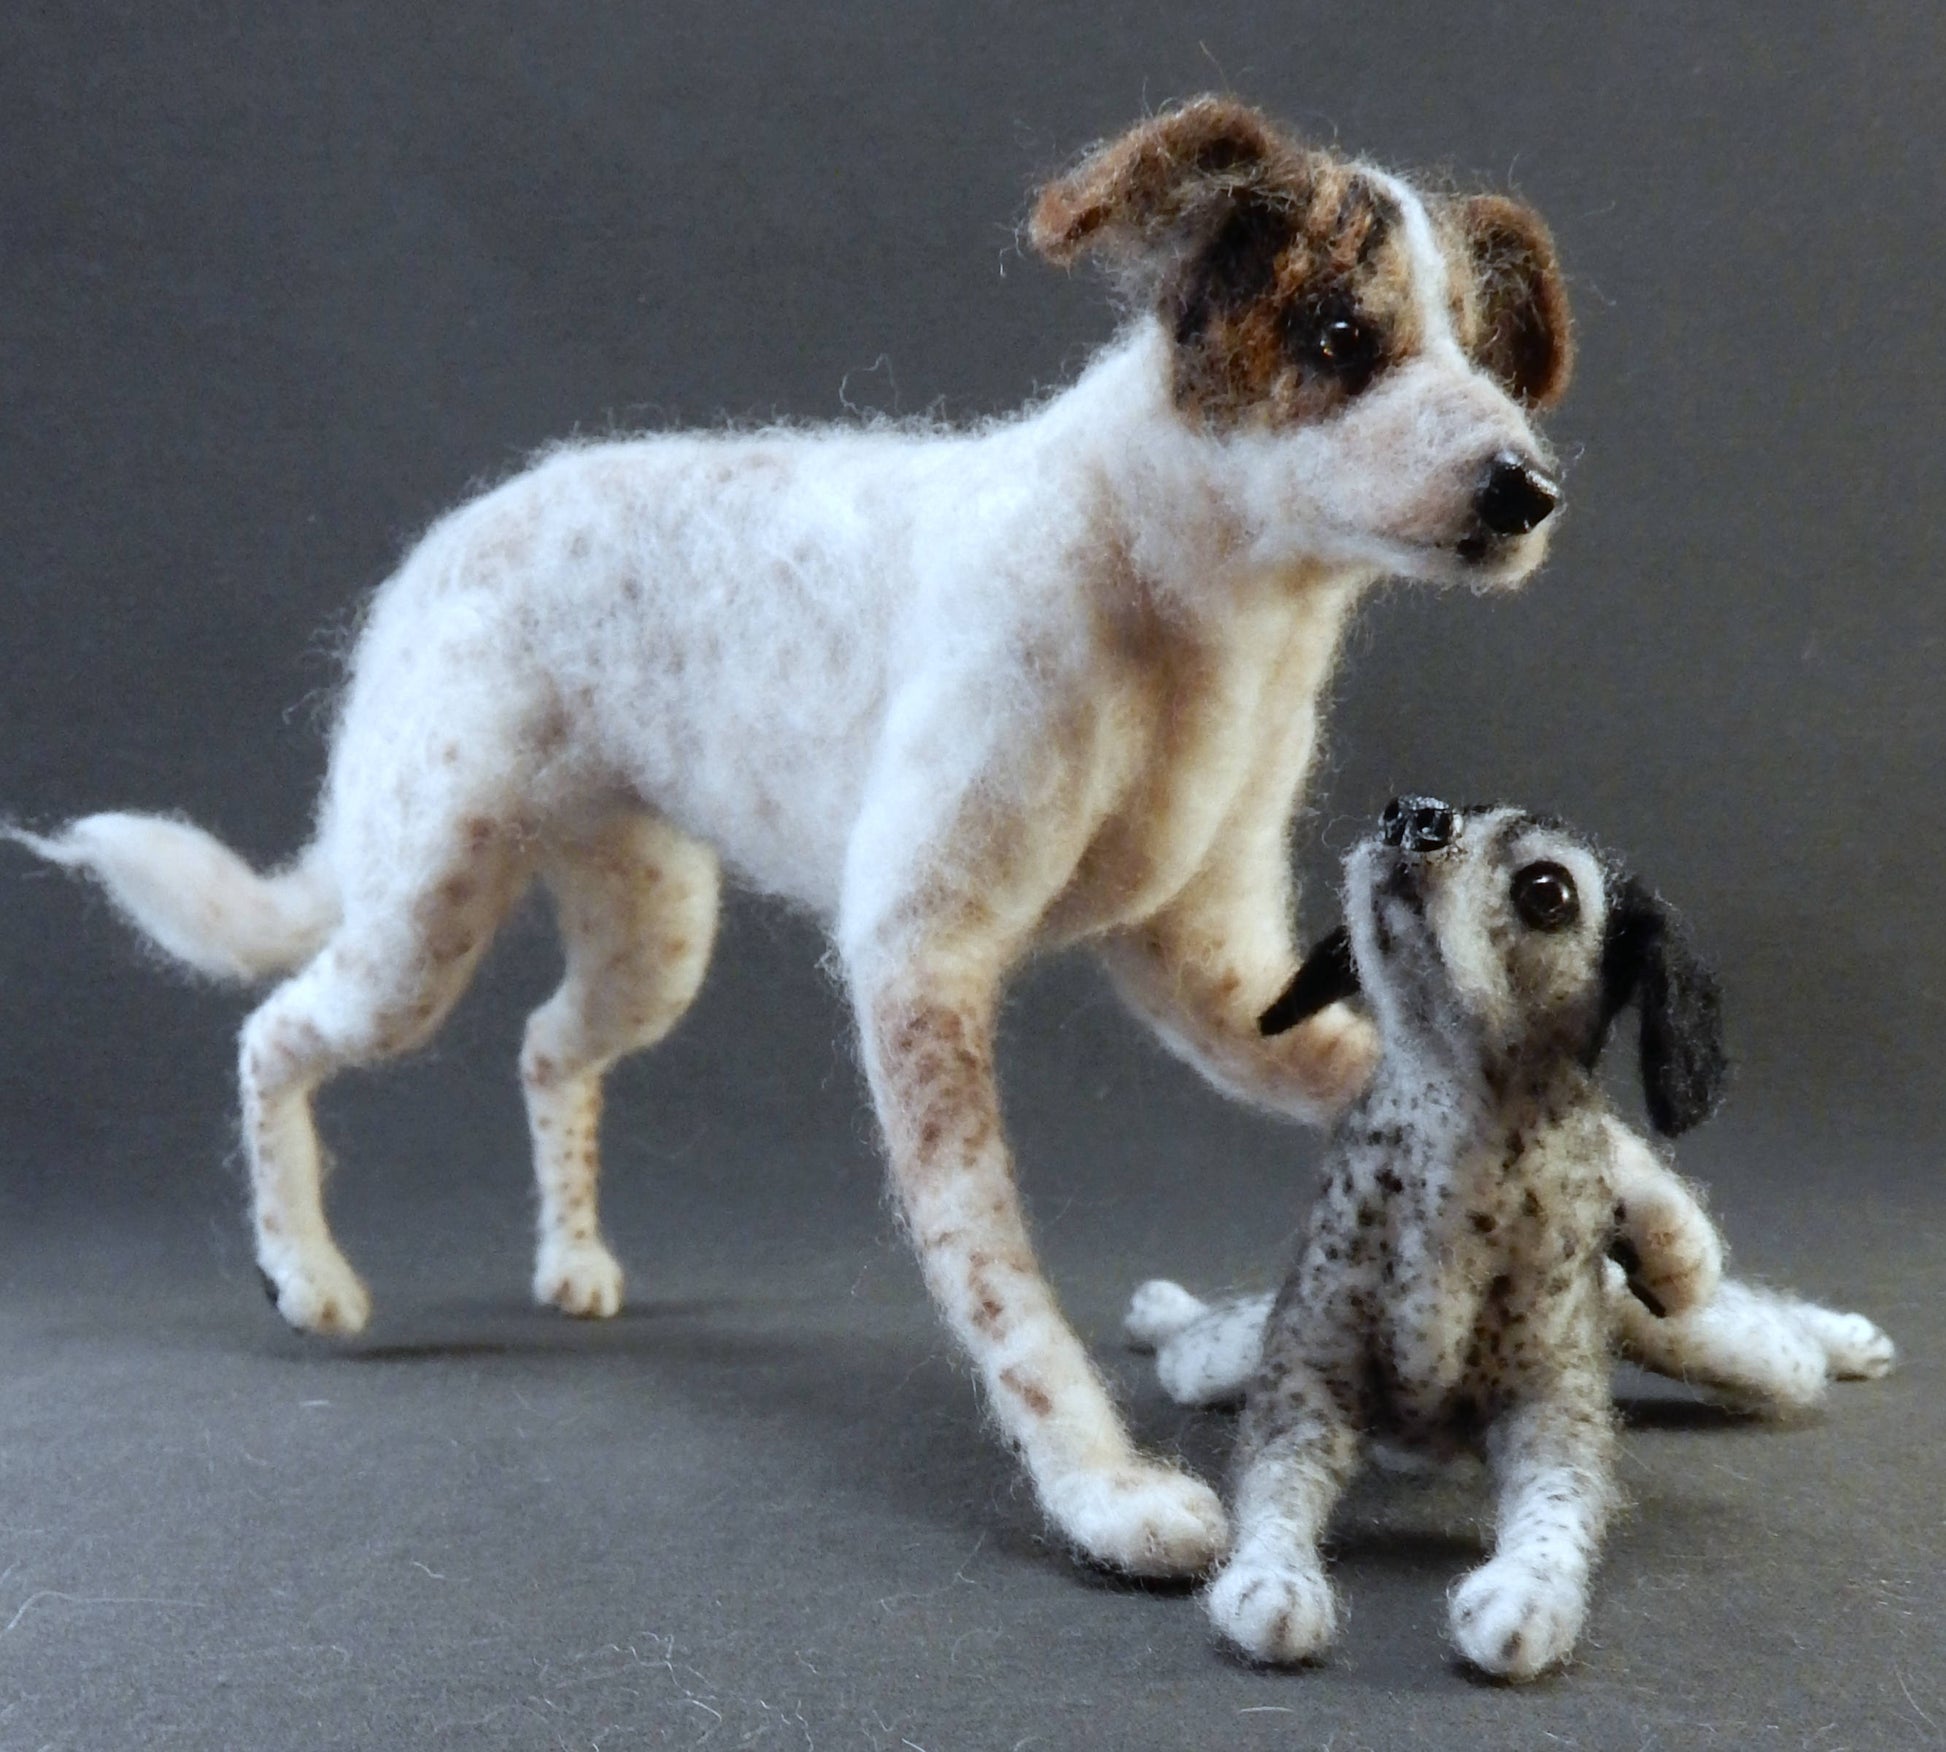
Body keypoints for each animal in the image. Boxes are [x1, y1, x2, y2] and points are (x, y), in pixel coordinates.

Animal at [0, 92, 1875, 1572]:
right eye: (1343, 341)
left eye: (1497, 357)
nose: (1522, 486)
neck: (1195, 618)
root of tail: (436, 548)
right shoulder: (923, 962)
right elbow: (998, 1284)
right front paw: (1109, 1493)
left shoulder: (1228, 987)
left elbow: (1583, 1144)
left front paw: (1704, 1268)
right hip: (421, 910)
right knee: (272, 1032)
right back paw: (303, 1272)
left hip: (647, 927)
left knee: (545, 1047)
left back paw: (573, 1259)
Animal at [1136, 805, 1899, 1681]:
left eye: (1546, 890)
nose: (1413, 815)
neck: (1454, 1125)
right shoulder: (1303, 1394)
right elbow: (1276, 1499)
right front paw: (1273, 1582)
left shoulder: (1552, 1415)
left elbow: (1556, 1514)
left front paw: (1525, 1598)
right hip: (1217, 1360)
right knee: (1190, 1350)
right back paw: (1163, 1311)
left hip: (1738, 1352)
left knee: (1775, 1339)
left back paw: (1846, 1339)